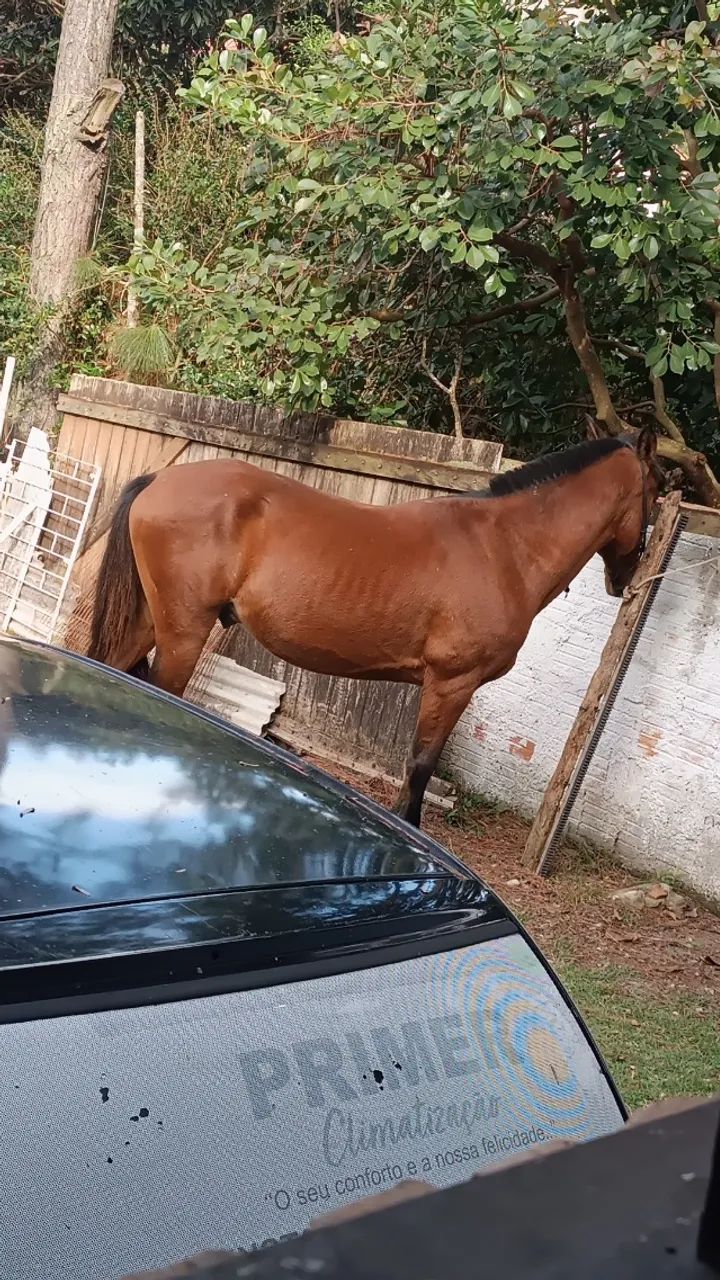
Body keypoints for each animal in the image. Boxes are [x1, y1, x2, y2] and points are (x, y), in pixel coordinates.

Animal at [87, 426, 662, 827]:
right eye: (657, 493)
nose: (627, 577)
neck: (505, 547)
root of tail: (159, 480)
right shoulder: (452, 684)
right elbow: (419, 769)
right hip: (183, 631)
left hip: (153, 621)